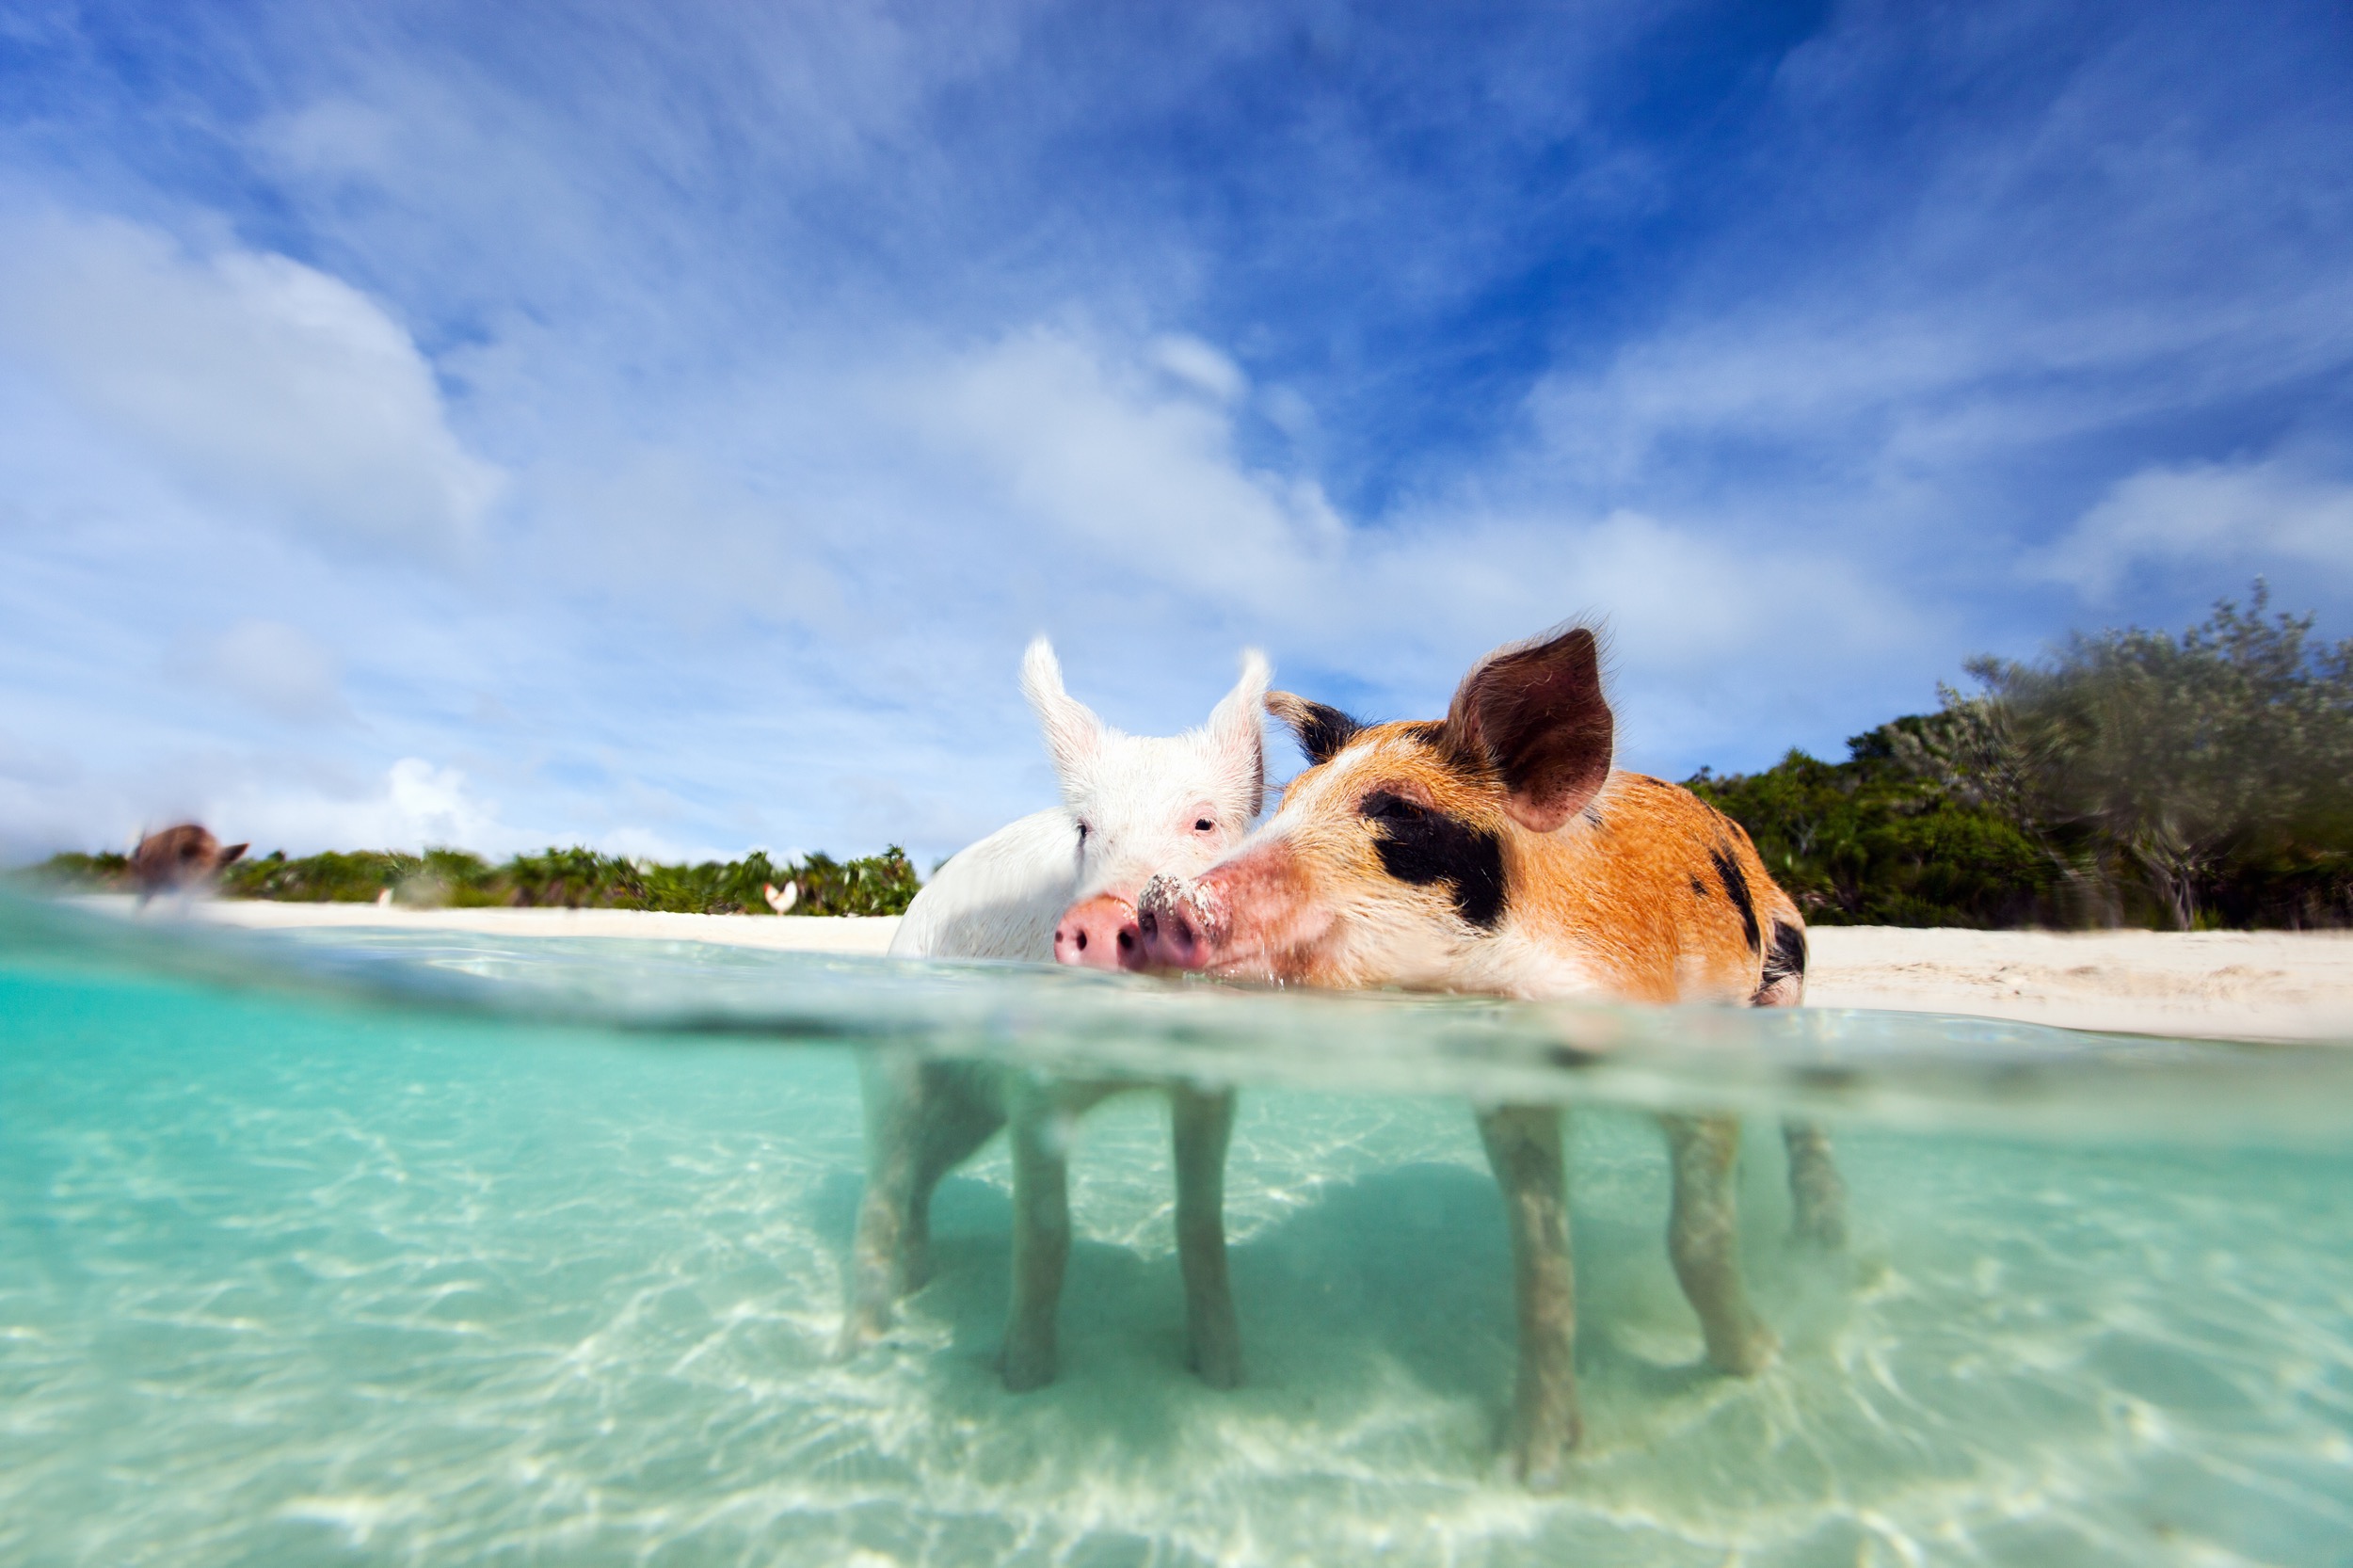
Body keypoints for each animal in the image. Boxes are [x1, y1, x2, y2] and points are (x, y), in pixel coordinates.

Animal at [842, 631, 1280, 1384]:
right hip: (898, 1065)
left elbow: (1200, 1225)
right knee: (884, 1187)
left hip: (969, 1113)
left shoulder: (1208, 1085)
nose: (1104, 917)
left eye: (1204, 821)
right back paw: (859, 1347)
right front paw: (1023, 1377)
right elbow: (1046, 1231)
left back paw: (919, 1280)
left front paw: (1224, 1374)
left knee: (922, 1179)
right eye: (1084, 829)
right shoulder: (1034, 1086)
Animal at [1129, 621, 1845, 1478]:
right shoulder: (1511, 1096)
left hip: (1785, 980)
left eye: (1400, 813)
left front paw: (1754, 1362)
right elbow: (1542, 1263)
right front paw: (1530, 1465)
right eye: (1289, 804)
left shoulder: (1692, 1058)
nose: (1161, 901)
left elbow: (1694, 1238)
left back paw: (1818, 1247)